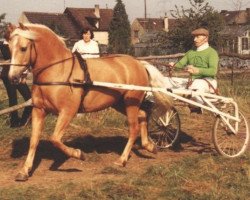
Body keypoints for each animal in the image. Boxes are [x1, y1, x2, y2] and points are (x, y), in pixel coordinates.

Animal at [7, 22, 172, 180]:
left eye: (23, 48)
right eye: (9, 47)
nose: (12, 78)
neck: (58, 71)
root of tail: (139, 64)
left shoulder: (67, 111)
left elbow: (55, 139)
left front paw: (79, 154)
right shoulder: (39, 110)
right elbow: (34, 141)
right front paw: (24, 171)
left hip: (131, 103)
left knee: (134, 128)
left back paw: (122, 160)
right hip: (120, 103)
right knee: (143, 115)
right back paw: (149, 146)